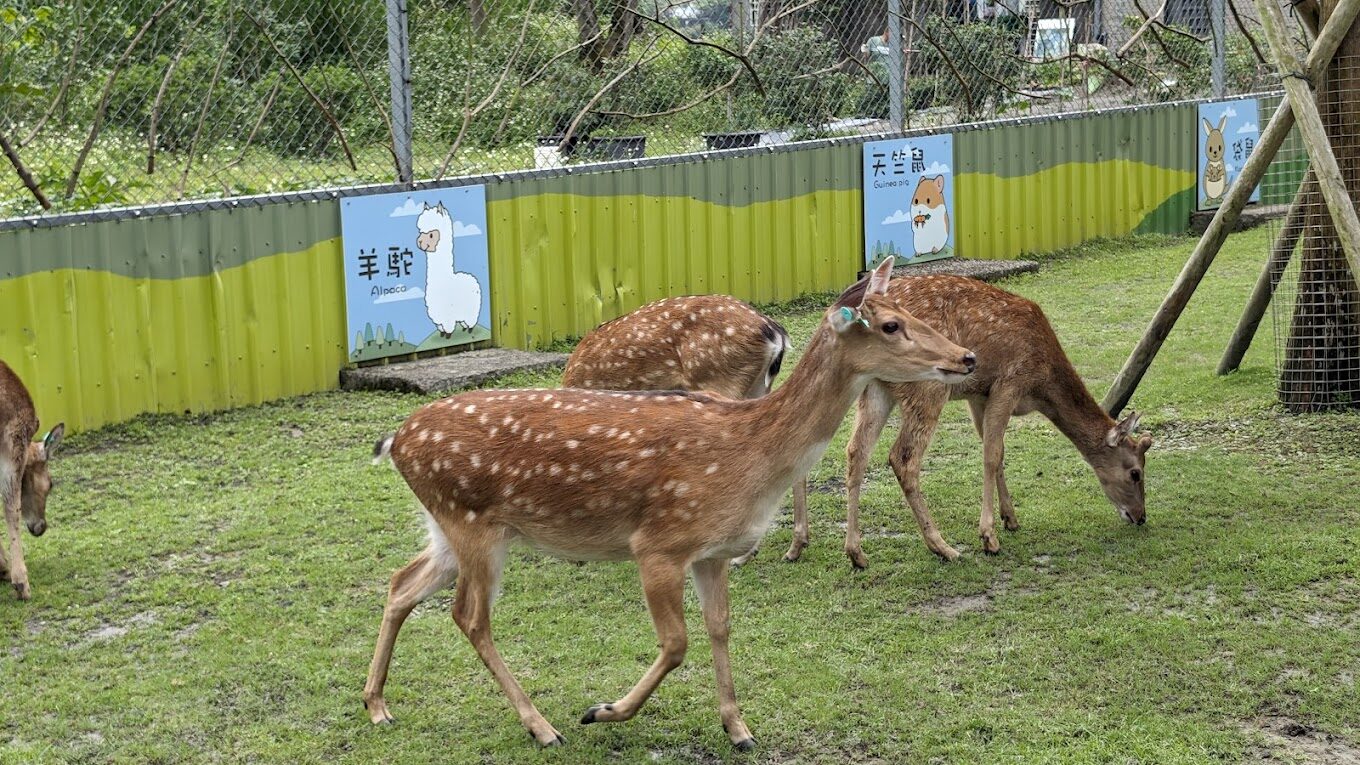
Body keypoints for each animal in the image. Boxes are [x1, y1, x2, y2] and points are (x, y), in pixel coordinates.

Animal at [561, 293, 807, 566]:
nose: (575, 559)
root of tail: (773, 332)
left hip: (720, 380)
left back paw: (741, 554)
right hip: (757, 386)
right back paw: (792, 548)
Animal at [779, 274, 1151, 568]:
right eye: (1135, 472)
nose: (1139, 516)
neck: (1041, 384)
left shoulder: (979, 394)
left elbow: (997, 451)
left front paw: (1010, 518)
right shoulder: (1008, 383)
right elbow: (990, 455)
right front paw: (989, 537)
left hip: (876, 388)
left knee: (855, 451)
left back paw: (852, 553)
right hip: (927, 388)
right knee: (902, 457)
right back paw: (942, 547)